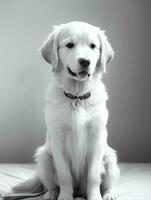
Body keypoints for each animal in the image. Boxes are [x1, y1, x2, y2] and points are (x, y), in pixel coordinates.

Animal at [12, 21, 119, 200]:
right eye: (69, 45)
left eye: (93, 46)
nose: (85, 61)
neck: (77, 97)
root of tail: (80, 190)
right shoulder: (58, 136)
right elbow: (64, 174)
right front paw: (65, 195)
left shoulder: (97, 136)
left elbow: (93, 175)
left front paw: (94, 196)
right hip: (43, 158)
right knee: (50, 183)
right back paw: (51, 193)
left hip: (110, 159)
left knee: (108, 182)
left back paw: (109, 194)